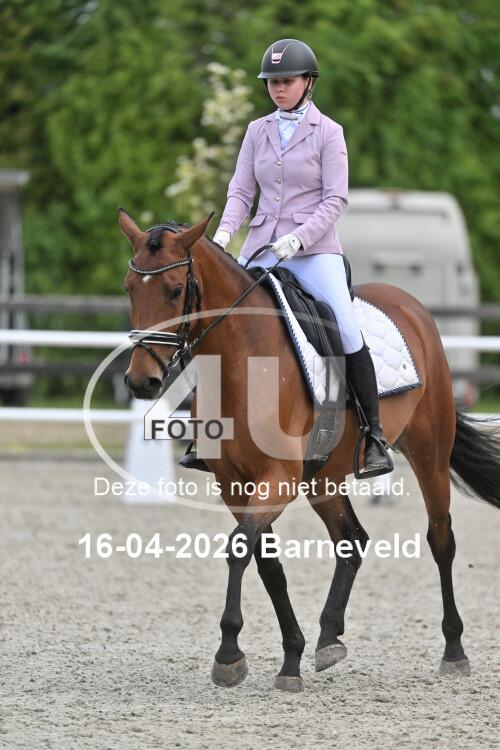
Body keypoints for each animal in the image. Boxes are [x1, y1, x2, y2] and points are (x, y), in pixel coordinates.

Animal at [119, 209, 500, 693]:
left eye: (174, 290)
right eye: (129, 288)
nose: (141, 381)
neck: (243, 358)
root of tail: (409, 304)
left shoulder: (277, 477)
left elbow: (240, 548)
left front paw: (229, 653)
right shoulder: (234, 483)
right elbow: (266, 564)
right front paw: (290, 656)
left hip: (429, 454)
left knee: (440, 540)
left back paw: (453, 650)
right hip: (324, 476)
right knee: (351, 540)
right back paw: (328, 637)